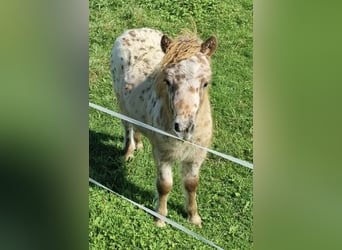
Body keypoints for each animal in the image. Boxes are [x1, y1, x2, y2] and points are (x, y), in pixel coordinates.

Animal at [110, 27, 216, 227]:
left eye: (205, 83)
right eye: (167, 81)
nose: (183, 127)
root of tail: (131, 31)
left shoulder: (195, 156)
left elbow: (192, 184)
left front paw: (194, 218)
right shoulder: (163, 154)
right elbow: (164, 186)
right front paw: (160, 219)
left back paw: (139, 144)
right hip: (121, 102)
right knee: (127, 127)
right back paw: (129, 152)